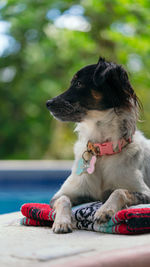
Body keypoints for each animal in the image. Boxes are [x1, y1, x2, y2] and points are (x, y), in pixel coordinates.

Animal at [46, 57, 150, 233]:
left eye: (79, 83)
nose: (48, 103)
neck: (102, 150)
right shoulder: (61, 194)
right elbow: (64, 199)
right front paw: (61, 221)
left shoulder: (145, 192)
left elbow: (119, 191)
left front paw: (104, 210)